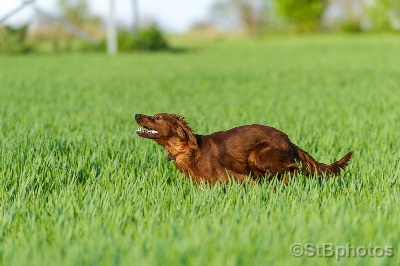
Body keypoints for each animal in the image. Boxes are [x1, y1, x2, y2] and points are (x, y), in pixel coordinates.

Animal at [135, 113, 354, 184]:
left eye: (158, 117)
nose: (137, 115)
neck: (187, 149)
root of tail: (288, 140)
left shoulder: (232, 176)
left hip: (257, 156)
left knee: (293, 168)